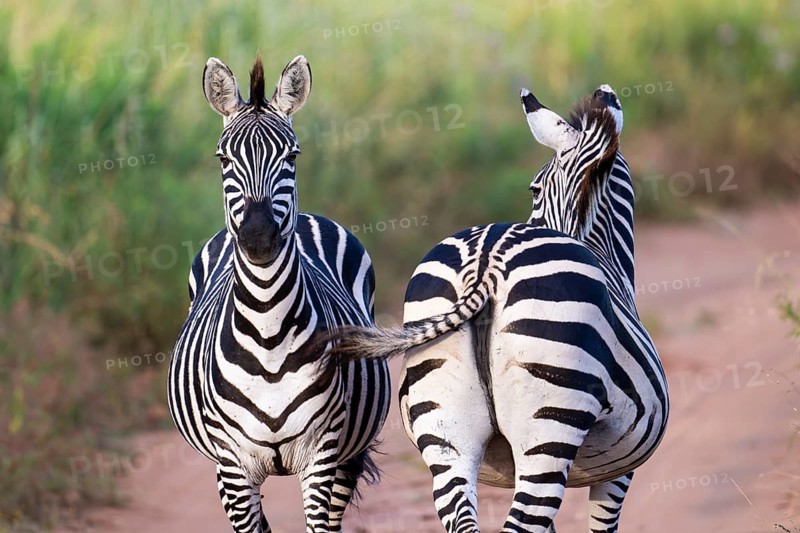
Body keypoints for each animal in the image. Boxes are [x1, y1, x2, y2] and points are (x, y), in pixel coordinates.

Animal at [167, 54, 390, 533]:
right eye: (222, 158)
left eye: (292, 155)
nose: (258, 237)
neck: (268, 330)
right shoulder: (233, 465)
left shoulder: (322, 453)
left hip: (349, 452)